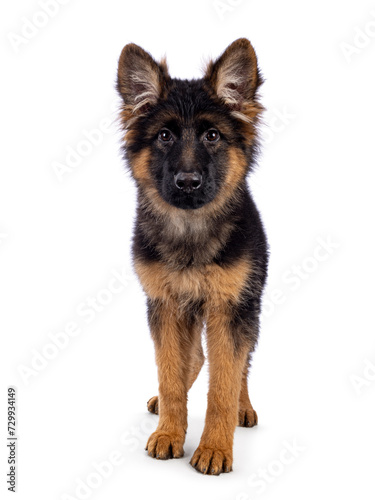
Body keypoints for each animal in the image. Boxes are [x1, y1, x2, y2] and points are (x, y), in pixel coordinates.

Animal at [117, 37, 268, 474]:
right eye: (165, 136)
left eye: (213, 136)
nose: (187, 182)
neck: (190, 231)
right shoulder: (165, 305)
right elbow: (170, 372)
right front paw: (170, 432)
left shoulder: (231, 308)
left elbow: (224, 383)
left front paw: (215, 447)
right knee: (193, 358)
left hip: (249, 308)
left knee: (240, 365)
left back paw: (244, 407)